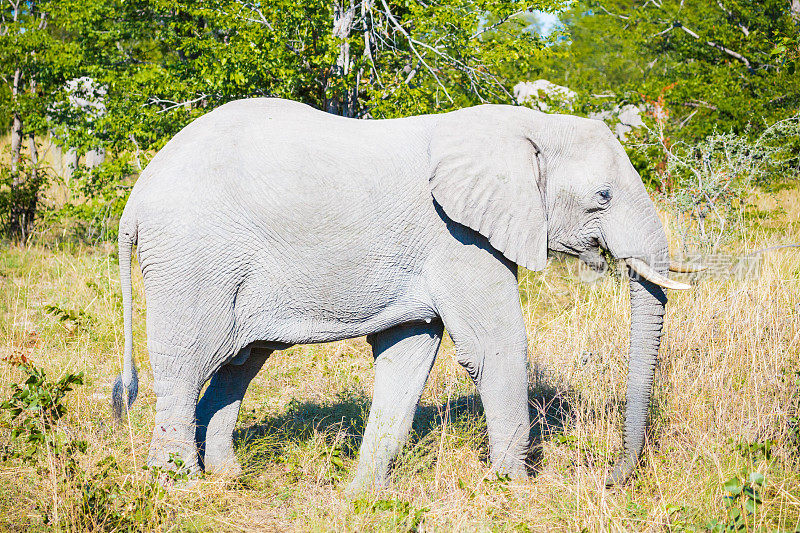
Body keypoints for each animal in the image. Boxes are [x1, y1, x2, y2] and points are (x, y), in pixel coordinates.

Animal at [112, 96, 692, 490]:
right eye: (603, 195)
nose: (612, 475)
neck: (528, 124)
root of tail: (136, 196)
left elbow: (408, 353)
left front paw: (361, 494)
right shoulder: (457, 237)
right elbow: (495, 347)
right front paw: (518, 490)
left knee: (239, 362)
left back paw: (227, 477)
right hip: (192, 258)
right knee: (189, 362)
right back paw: (180, 485)